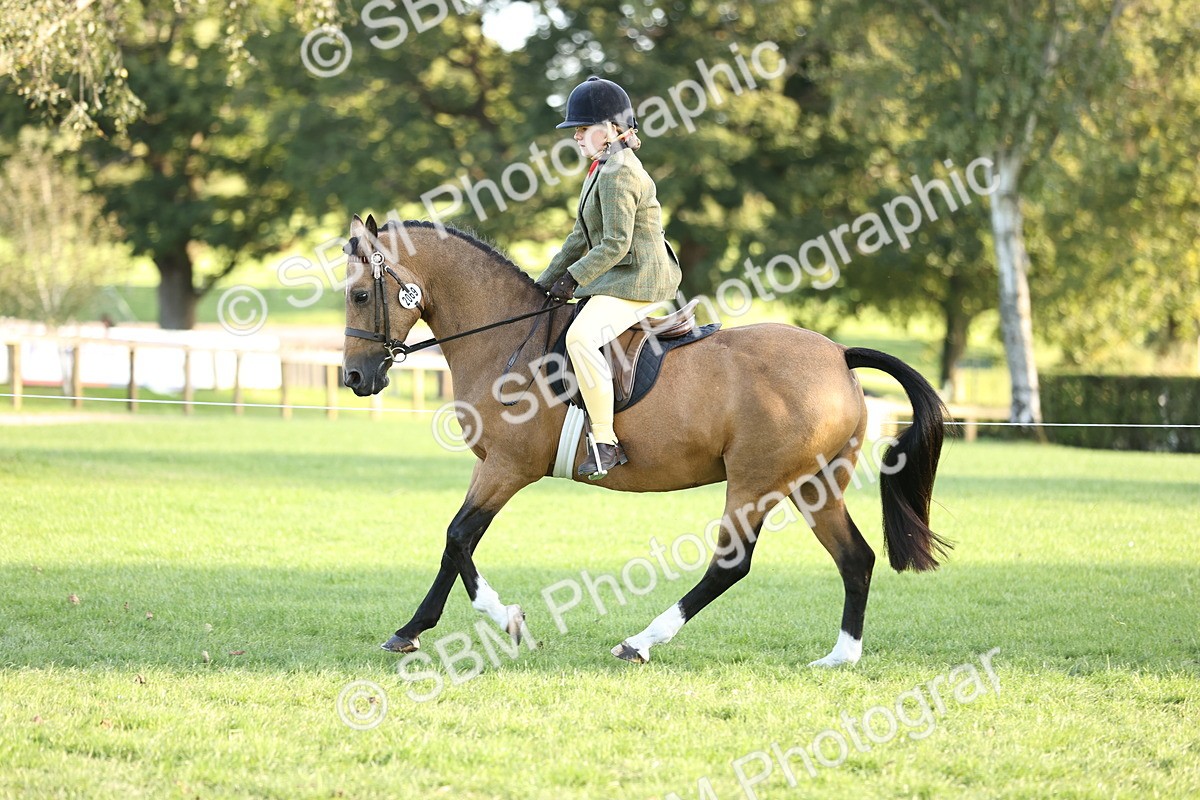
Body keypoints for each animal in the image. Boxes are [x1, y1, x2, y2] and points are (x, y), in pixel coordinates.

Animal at [341, 214, 951, 666]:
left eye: (358, 296)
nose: (354, 378)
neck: (505, 338)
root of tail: (839, 354)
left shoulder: (508, 468)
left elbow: (458, 536)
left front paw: (504, 619)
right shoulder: (489, 466)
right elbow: (456, 545)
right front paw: (412, 630)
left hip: (756, 482)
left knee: (731, 564)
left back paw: (639, 642)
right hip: (813, 484)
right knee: (855, 558)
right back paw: (841, 657)